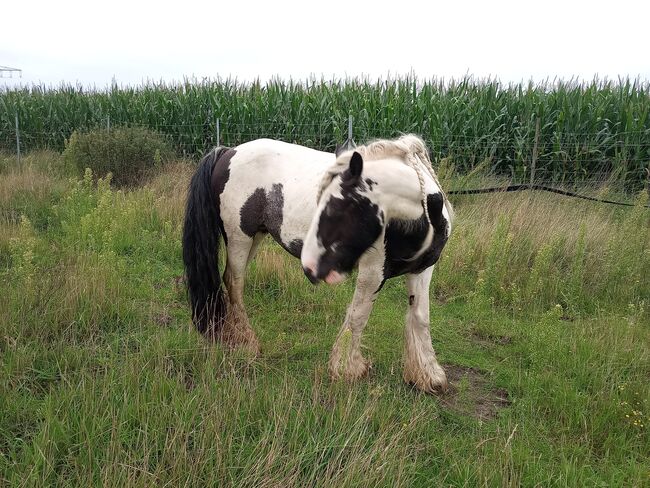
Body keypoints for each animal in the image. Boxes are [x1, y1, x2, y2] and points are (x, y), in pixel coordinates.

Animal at [184, 134, 450, 392]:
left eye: (335, 206)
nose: (311, 265)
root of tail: (228, 151)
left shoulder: (423, 270)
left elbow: (420, 316)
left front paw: (427, 376)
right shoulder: (373, 272)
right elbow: (359, 314)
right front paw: (347, 370)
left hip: (254, 238)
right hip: (239, 238)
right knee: (234, 283)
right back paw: (246, 342)